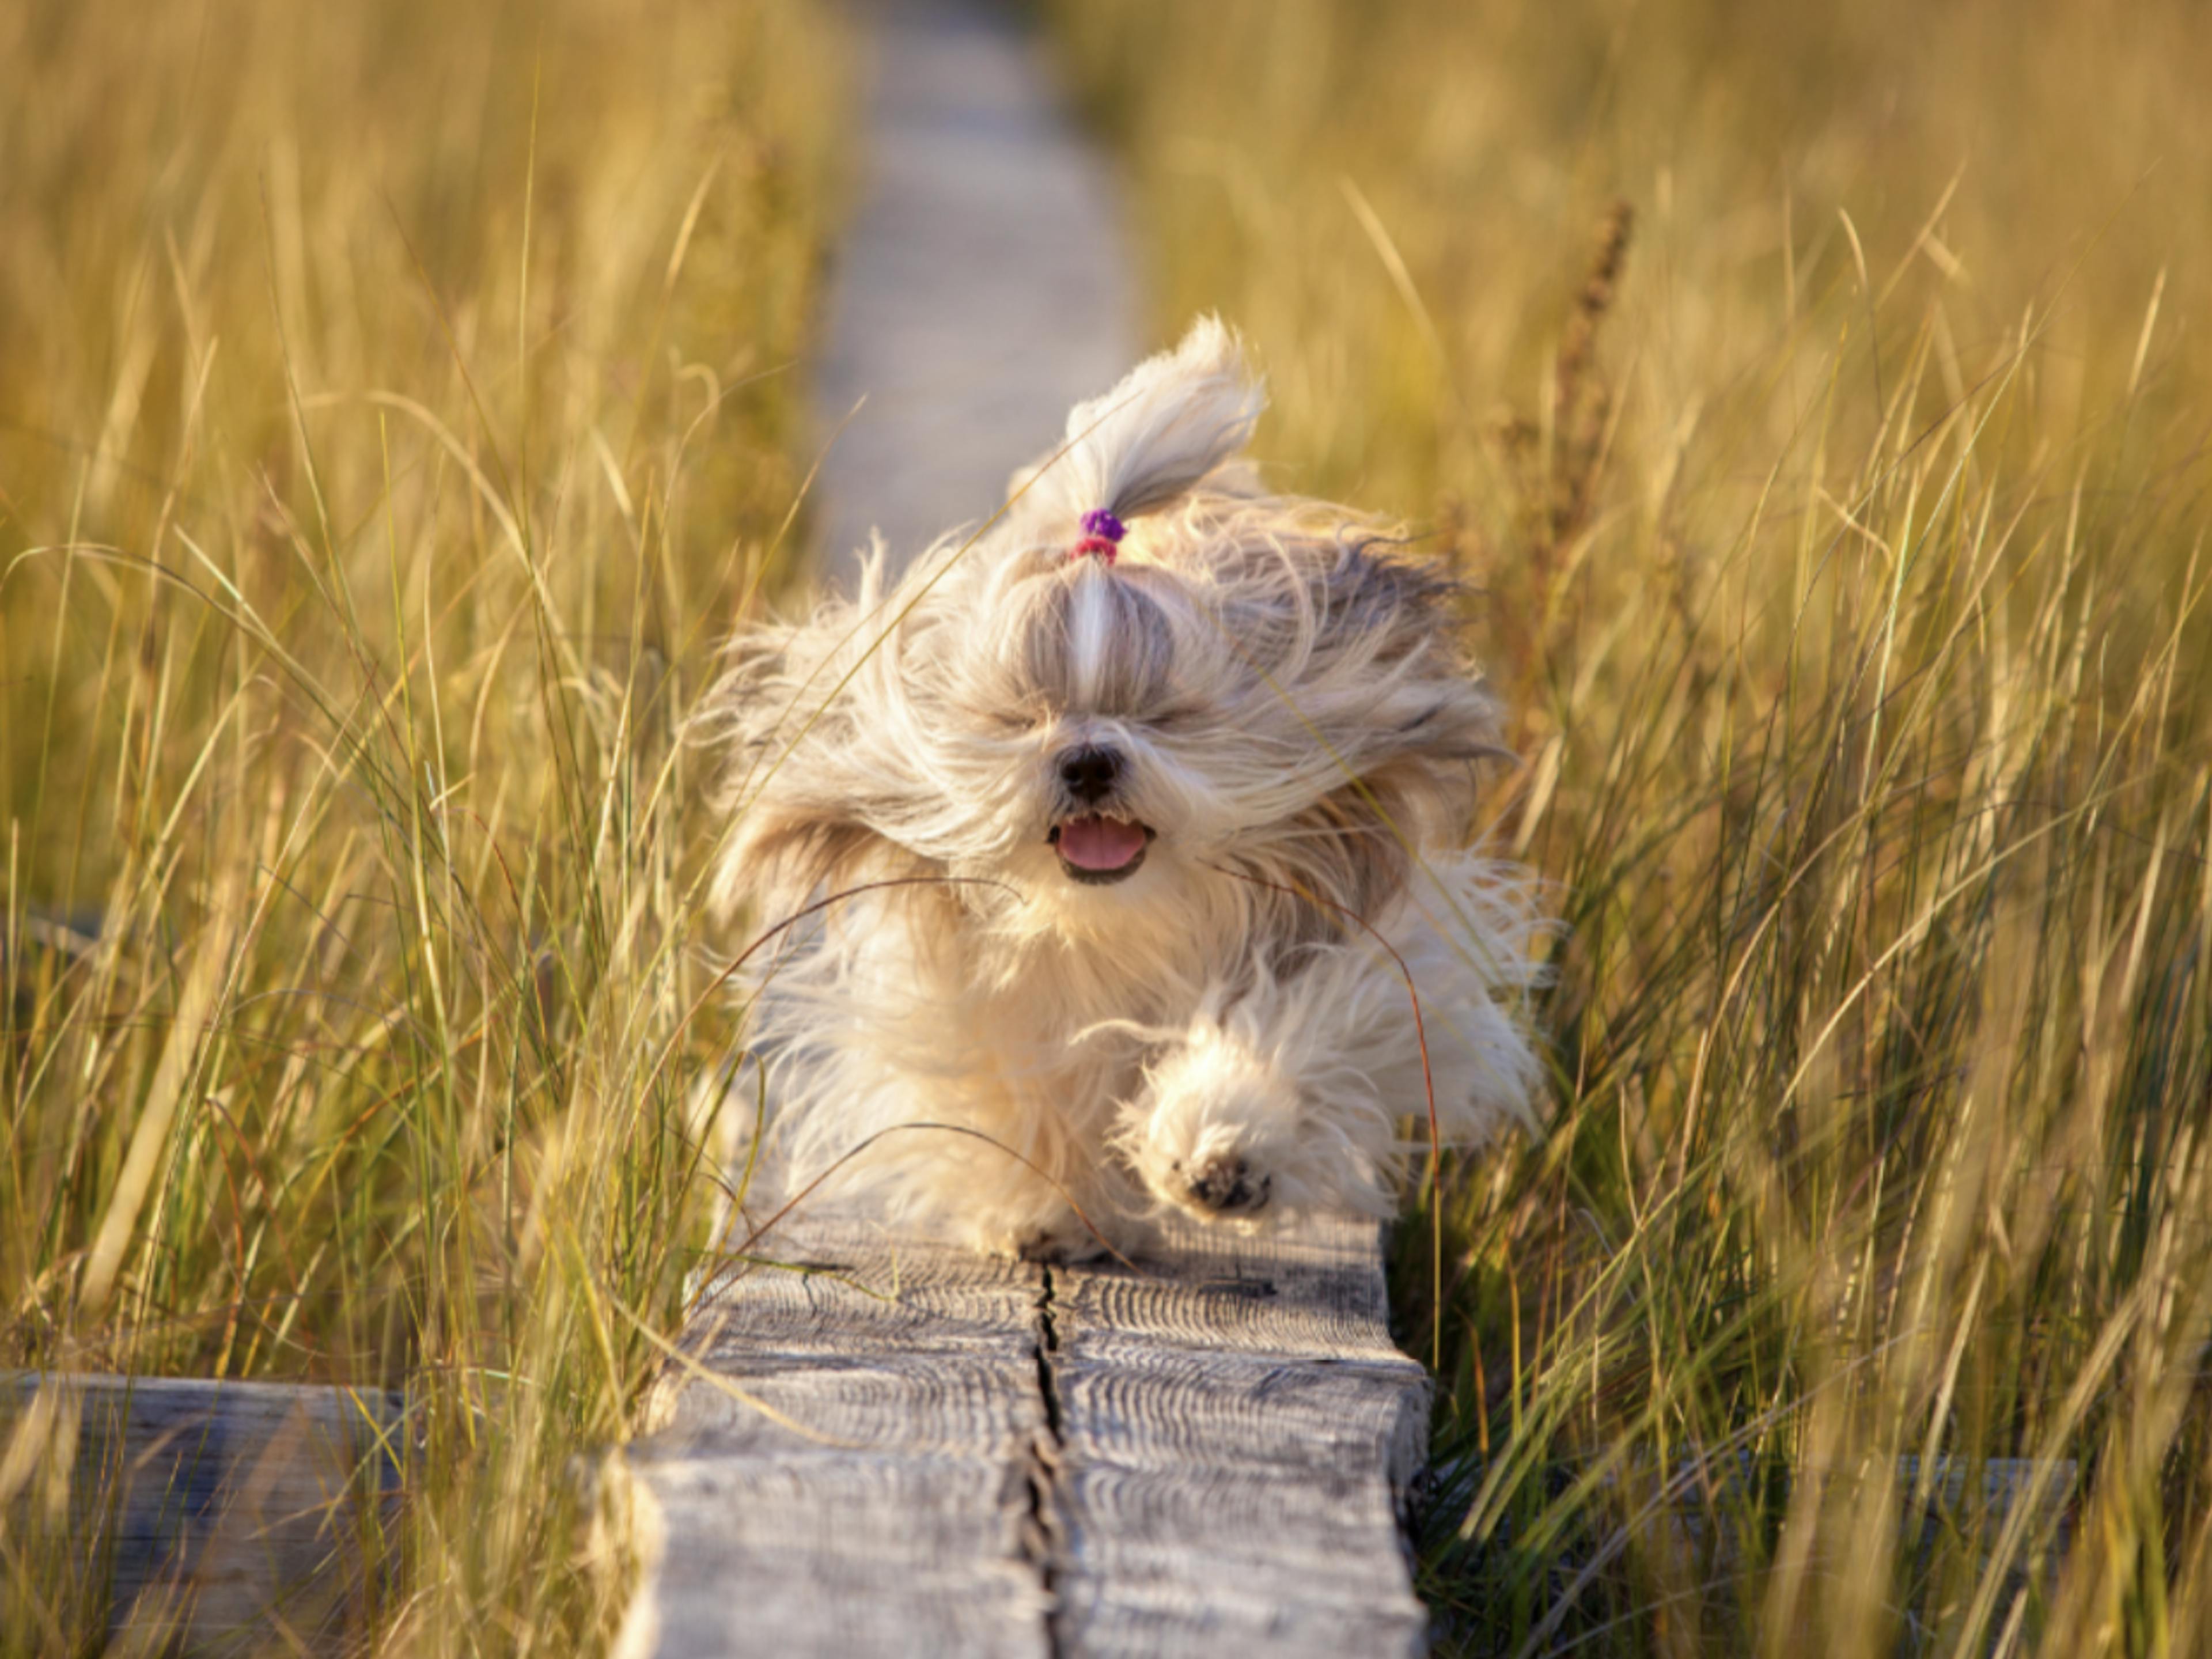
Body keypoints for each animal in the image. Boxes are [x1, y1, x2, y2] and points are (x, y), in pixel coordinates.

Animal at [699, 320, 1548, 1256]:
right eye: (1022, 714)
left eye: (1162, 713)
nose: (1089, 760)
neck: (1125, 922)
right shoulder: (983, 999)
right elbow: (1023, 1080)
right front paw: (1046, 1209)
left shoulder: (1366, 938)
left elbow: (1301, 1022)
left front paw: (1222, 1152)